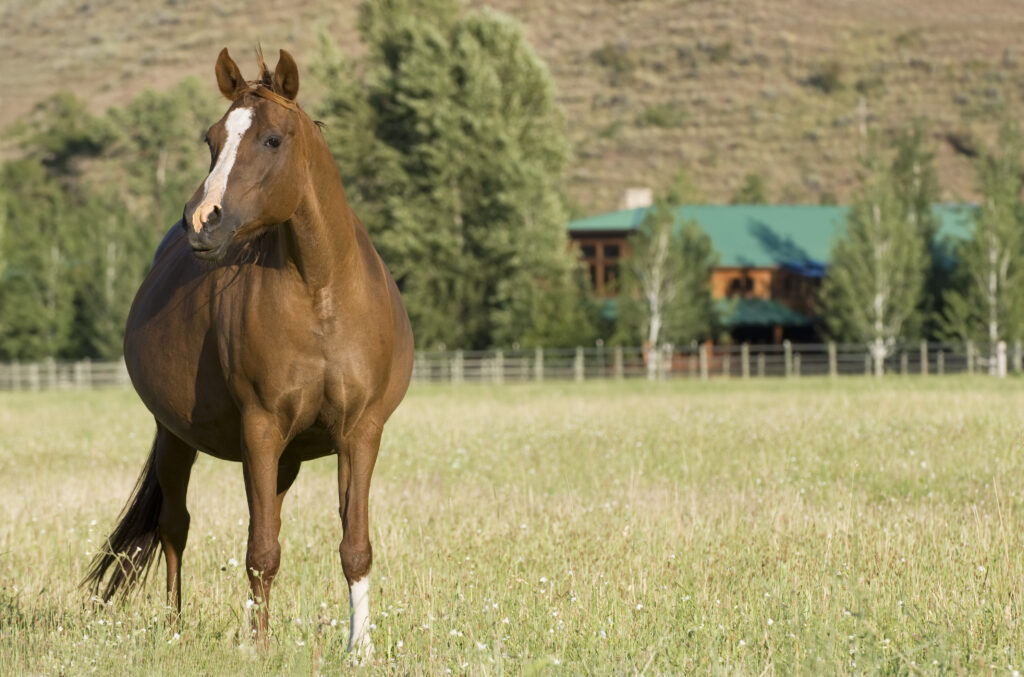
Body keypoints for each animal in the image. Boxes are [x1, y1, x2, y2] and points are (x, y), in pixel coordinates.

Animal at [83, 47, 414, 656]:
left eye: (273, 140)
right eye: (212, 138)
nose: (202, 220)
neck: (321, 292)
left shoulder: (361, 432)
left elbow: (353, 545)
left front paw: (360, 649)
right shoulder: (259, 427)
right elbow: (261, 551)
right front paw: (257, 648)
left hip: (284, 459)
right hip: (176, 438)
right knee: (176, 527)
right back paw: (176, 629)